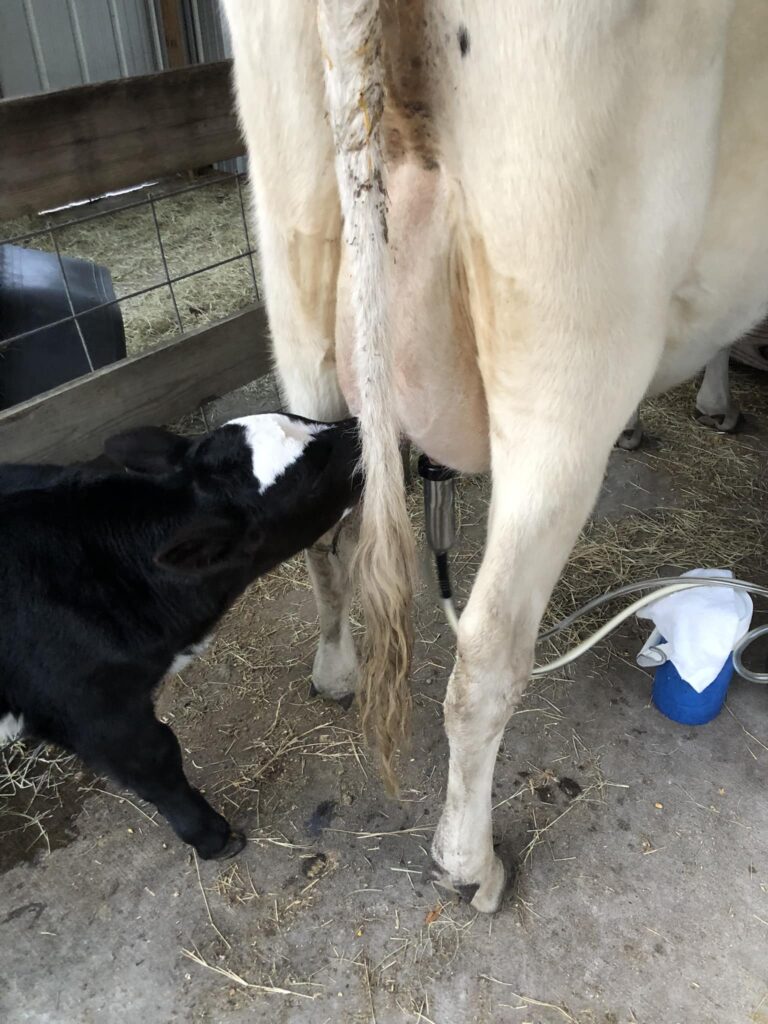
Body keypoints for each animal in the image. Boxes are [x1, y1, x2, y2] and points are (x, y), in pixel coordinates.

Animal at [0, 414, 361, 858]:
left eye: (306, 419)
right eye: (311, 474)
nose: (363, 428)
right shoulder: (89, 708)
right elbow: (157, 762)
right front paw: (212, 837)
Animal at [220, 0, 768, 911]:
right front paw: (717, 403)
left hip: (298, 281)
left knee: (323, 540)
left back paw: (335, 671)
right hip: (567, 350)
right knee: (485, 656)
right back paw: (469, 862)